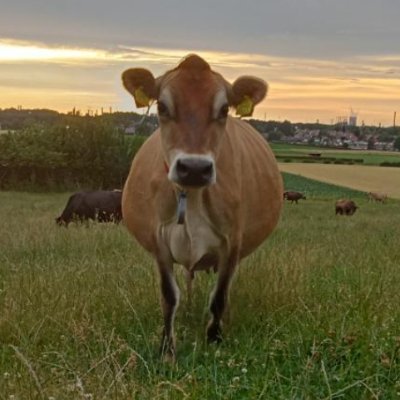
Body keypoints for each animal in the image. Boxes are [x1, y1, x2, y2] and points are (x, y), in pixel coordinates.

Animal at [120, 53, 282, 360]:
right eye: (162, 106)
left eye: (224, 109)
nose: (194, 168)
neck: (192, 197)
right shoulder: (159, 240)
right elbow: (169, 296)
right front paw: (167, 348)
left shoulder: (232, 242)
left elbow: (219, 296)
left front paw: (215, 339)